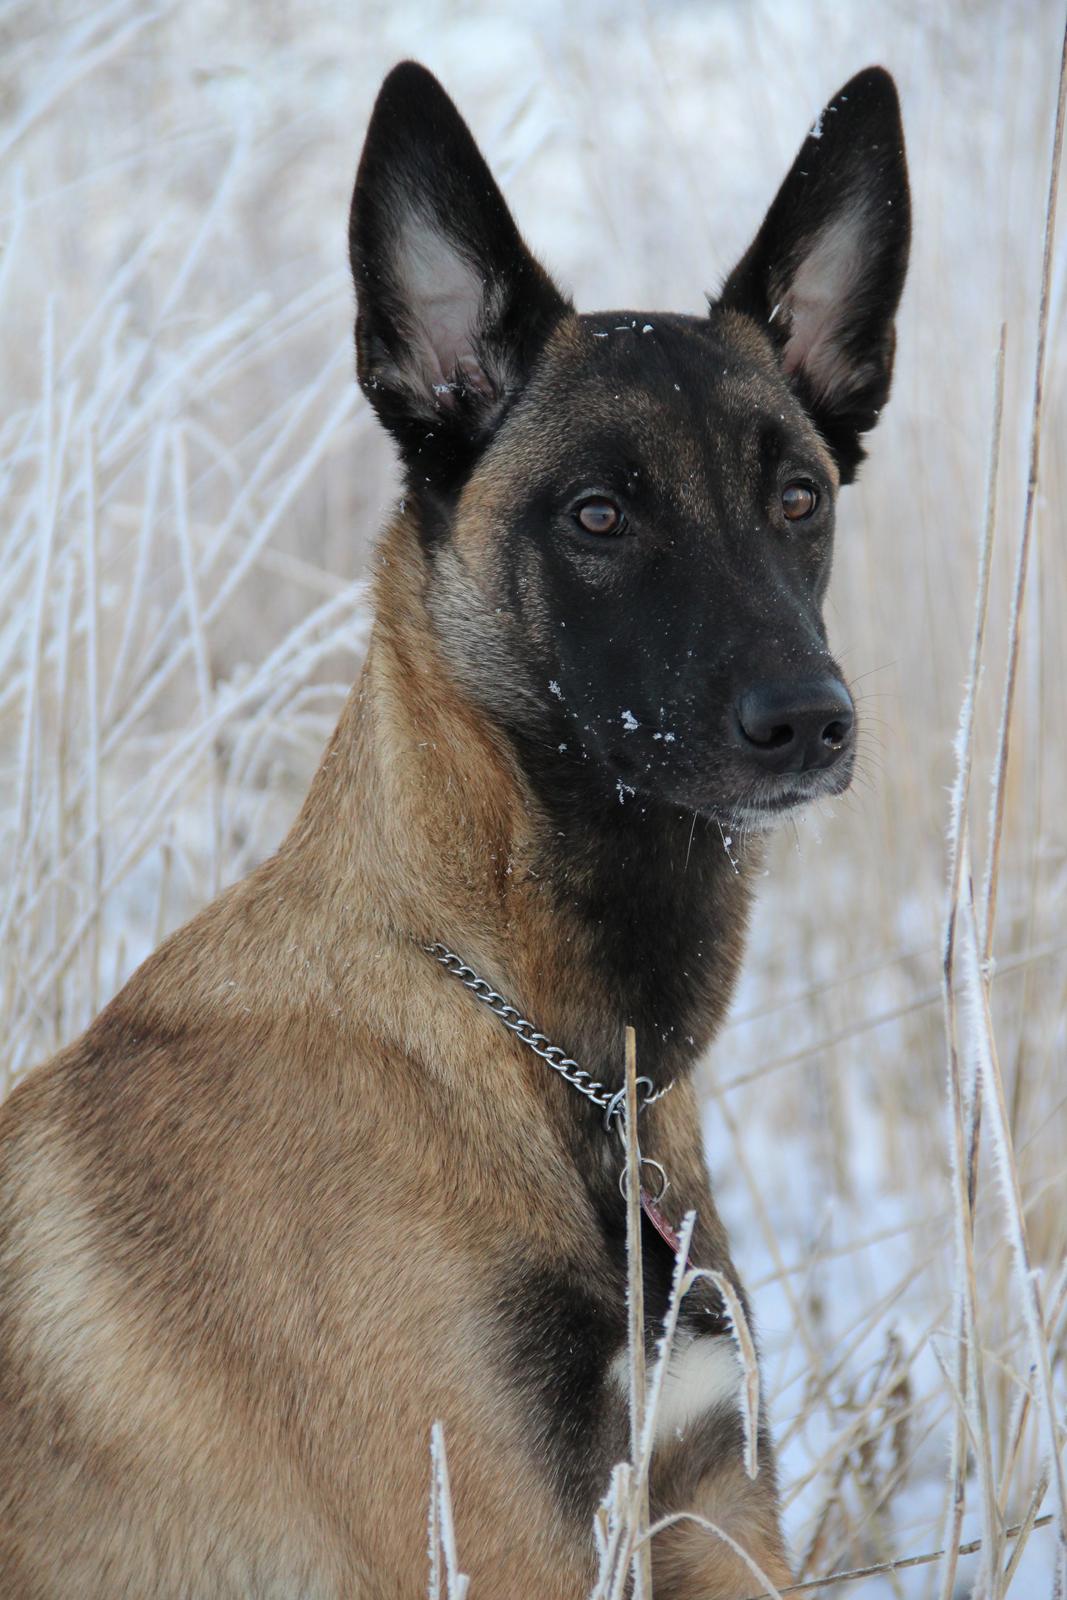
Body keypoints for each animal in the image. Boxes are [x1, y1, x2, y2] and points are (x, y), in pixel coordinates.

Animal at [0, 56, 908, 1593]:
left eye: (796, 498)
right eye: (597, 515)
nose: (810, 721)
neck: (549, 1058)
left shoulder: (714, 1508)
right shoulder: (503, 1534)